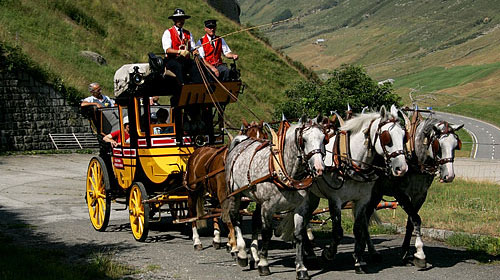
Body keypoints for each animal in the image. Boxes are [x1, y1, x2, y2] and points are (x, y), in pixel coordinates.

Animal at [186, 119, 268, 250]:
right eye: (249, 138)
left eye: (264, 137)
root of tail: (198, 151)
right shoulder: (225, 194)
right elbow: (230, 217)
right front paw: (234, 244)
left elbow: (236, 218)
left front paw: (232, 241)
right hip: (192, 190)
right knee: (192, 213)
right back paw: (197, 241)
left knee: (214, 209)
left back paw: (217, 238)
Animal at [222, 116, 324, 276]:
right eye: (304, 140)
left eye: (324, 138)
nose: (319, 168)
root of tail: (242, 142)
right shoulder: (268, 207)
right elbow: (266, 233)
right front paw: (264, 264)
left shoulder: (300, 207)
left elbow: (299, 234)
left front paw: (301, 267)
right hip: (235, 193)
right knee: (235, 218)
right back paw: (242, 254)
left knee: (255, 221)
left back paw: (254, 256)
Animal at [292, 105, 408, 280]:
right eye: (387, 137)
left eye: (403, 136)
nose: (402, 168)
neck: (351, 161)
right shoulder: (335, 199)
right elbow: (338, 232)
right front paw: (328, 253)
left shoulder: (363, 200)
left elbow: (359, 229)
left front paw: (359, 262)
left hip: (312, 197)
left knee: (305, 222)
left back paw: (310, 254)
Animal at [364, 112, 464, 268]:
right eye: (438, 145)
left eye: (455, 145)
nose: (449, 176)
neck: (414, 158)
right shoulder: (400, 194)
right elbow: (416, 219)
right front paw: (420, 254)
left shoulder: (420, 195)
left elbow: (411, 222)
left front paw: (406, 253)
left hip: (376, 194)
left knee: (366, 217)